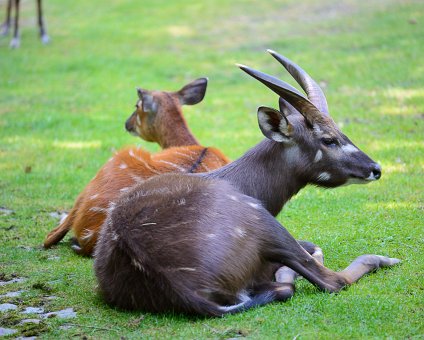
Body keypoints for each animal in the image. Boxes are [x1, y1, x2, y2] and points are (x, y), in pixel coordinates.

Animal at [94, 50, 400, 316]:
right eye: (328, 139)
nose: (375, 169)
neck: (236, 180)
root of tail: (187, 290)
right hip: (265, 224)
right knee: (328, 280)